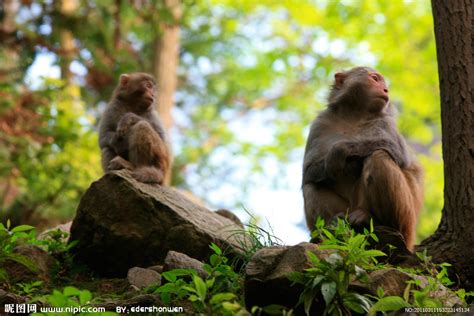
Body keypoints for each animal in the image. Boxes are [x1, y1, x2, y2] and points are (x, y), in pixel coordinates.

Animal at [304, 67, 426, 252]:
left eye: (383, 83)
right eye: (375, 79)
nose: (386, 90)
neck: (354, 115)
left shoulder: (385, 121)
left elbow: (398, 152)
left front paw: (339, 151)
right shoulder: (320, 123)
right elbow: (308, 171)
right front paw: (334, 164)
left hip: (407, 221)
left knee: (378, 156)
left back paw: (380, 223)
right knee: (310, 184)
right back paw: (333, 225)